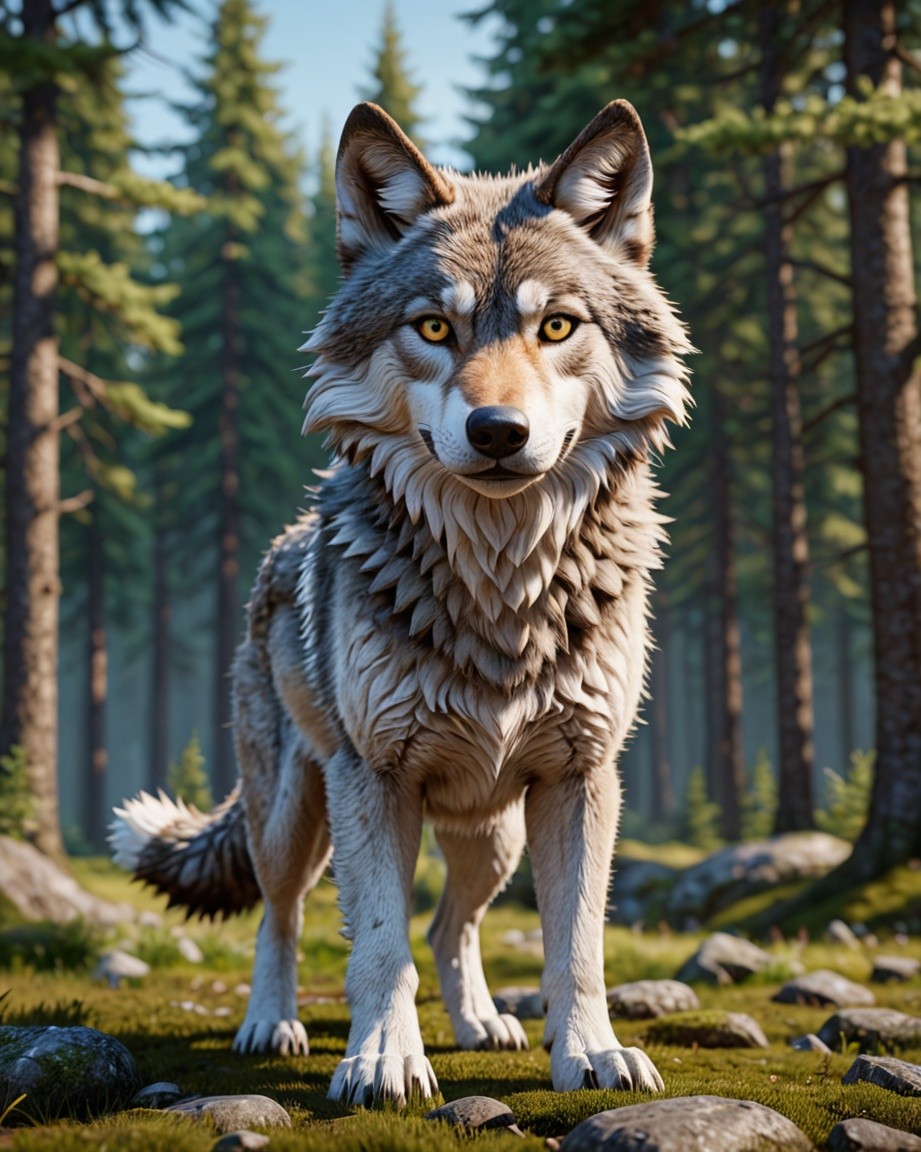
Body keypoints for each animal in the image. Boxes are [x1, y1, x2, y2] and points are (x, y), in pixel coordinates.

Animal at [112, 99, 691, 1107]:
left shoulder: (582, 777)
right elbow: (379, 946)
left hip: (493, 838)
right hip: (293, 817)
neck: (500, 584)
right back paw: (272, 1025)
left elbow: (576, 944)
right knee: (284, 915)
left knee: (452, 924)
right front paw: (382, 1060)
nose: (497, 432)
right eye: (431, 328)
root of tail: (278, 548)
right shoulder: (373, 778)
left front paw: (590, 1052)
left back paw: (485, 1024)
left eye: (556, 326)